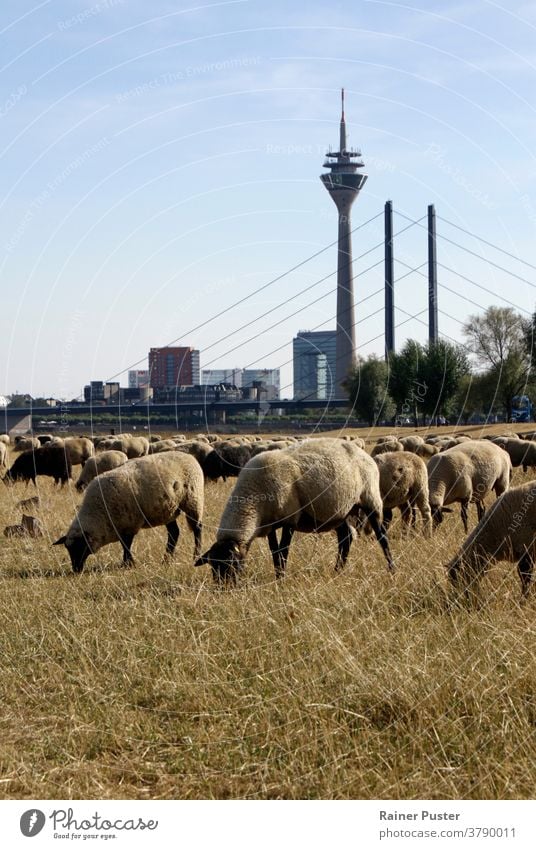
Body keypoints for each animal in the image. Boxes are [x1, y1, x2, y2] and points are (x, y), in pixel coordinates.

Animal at [52, 450, 203, 576]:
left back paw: (196, 555)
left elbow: (126, 545)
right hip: (169, 510)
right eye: (68, 549)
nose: (76, 570)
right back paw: (166, 559)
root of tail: (189, 456)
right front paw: (127, 563)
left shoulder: (129, 525)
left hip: (193, 500)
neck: (99, 514)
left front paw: (128, 564)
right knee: (174, 533)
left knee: (197, 528)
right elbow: (124, 545)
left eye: (80, 547)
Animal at [195, 438, 392, 584]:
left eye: (232, 564)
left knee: (382, 536)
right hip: (340, 512)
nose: (223, 589)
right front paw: (278, 576)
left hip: (370, 499)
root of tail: (363, 453)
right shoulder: (270, 524)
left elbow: (283, 551)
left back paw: (392, 568)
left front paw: (281, 579)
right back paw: (337, 571)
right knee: (346, 538)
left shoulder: (290, 519)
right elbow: (274, 552)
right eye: (213, 566)